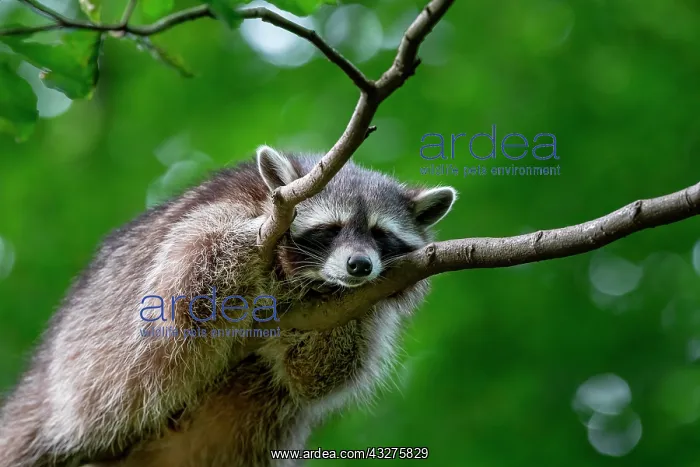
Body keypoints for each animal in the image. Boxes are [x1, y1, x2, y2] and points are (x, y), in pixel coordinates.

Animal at [0, 146, 456, 467]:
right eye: (330, 229)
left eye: (381, 235)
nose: (359, 266)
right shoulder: (216, 214)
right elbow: (182, 292)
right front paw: (250, 237)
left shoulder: (364, 303)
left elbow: (318, 374)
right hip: (83, 377)